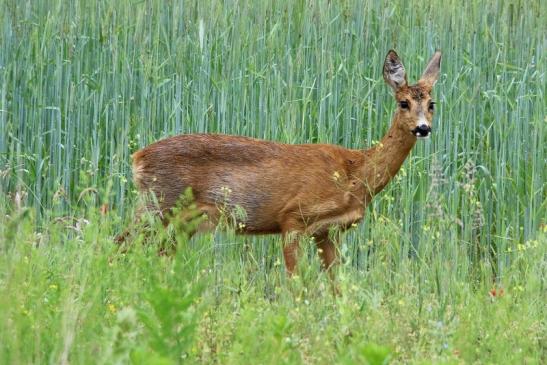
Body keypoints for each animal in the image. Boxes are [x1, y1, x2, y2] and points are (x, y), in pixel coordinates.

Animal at [132, 50, 440, 272]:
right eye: (403, 103)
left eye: (432, 104)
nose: (423, 129)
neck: (355, 172)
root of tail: (137, 158)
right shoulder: (293, 218)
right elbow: (298, 285)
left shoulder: (327, 232)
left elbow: (336, 287)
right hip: (157, 207)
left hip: (180, 222)